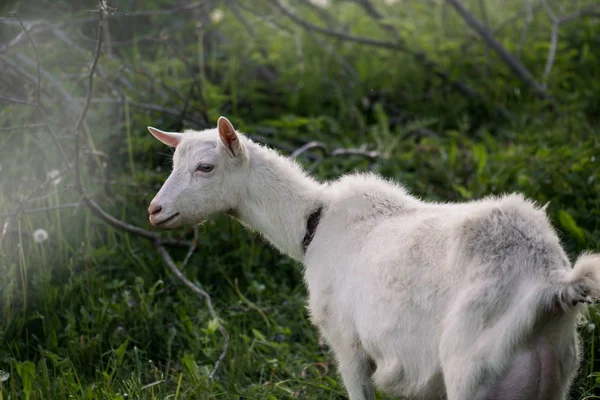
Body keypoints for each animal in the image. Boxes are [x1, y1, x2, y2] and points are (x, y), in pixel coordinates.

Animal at [146, 117, 600, 400]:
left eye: (206, 167)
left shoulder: (346, 342)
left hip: (474, 370)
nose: (154, 210)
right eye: (173, 163)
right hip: (557, 374)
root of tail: (550, 285)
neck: (314, 222)